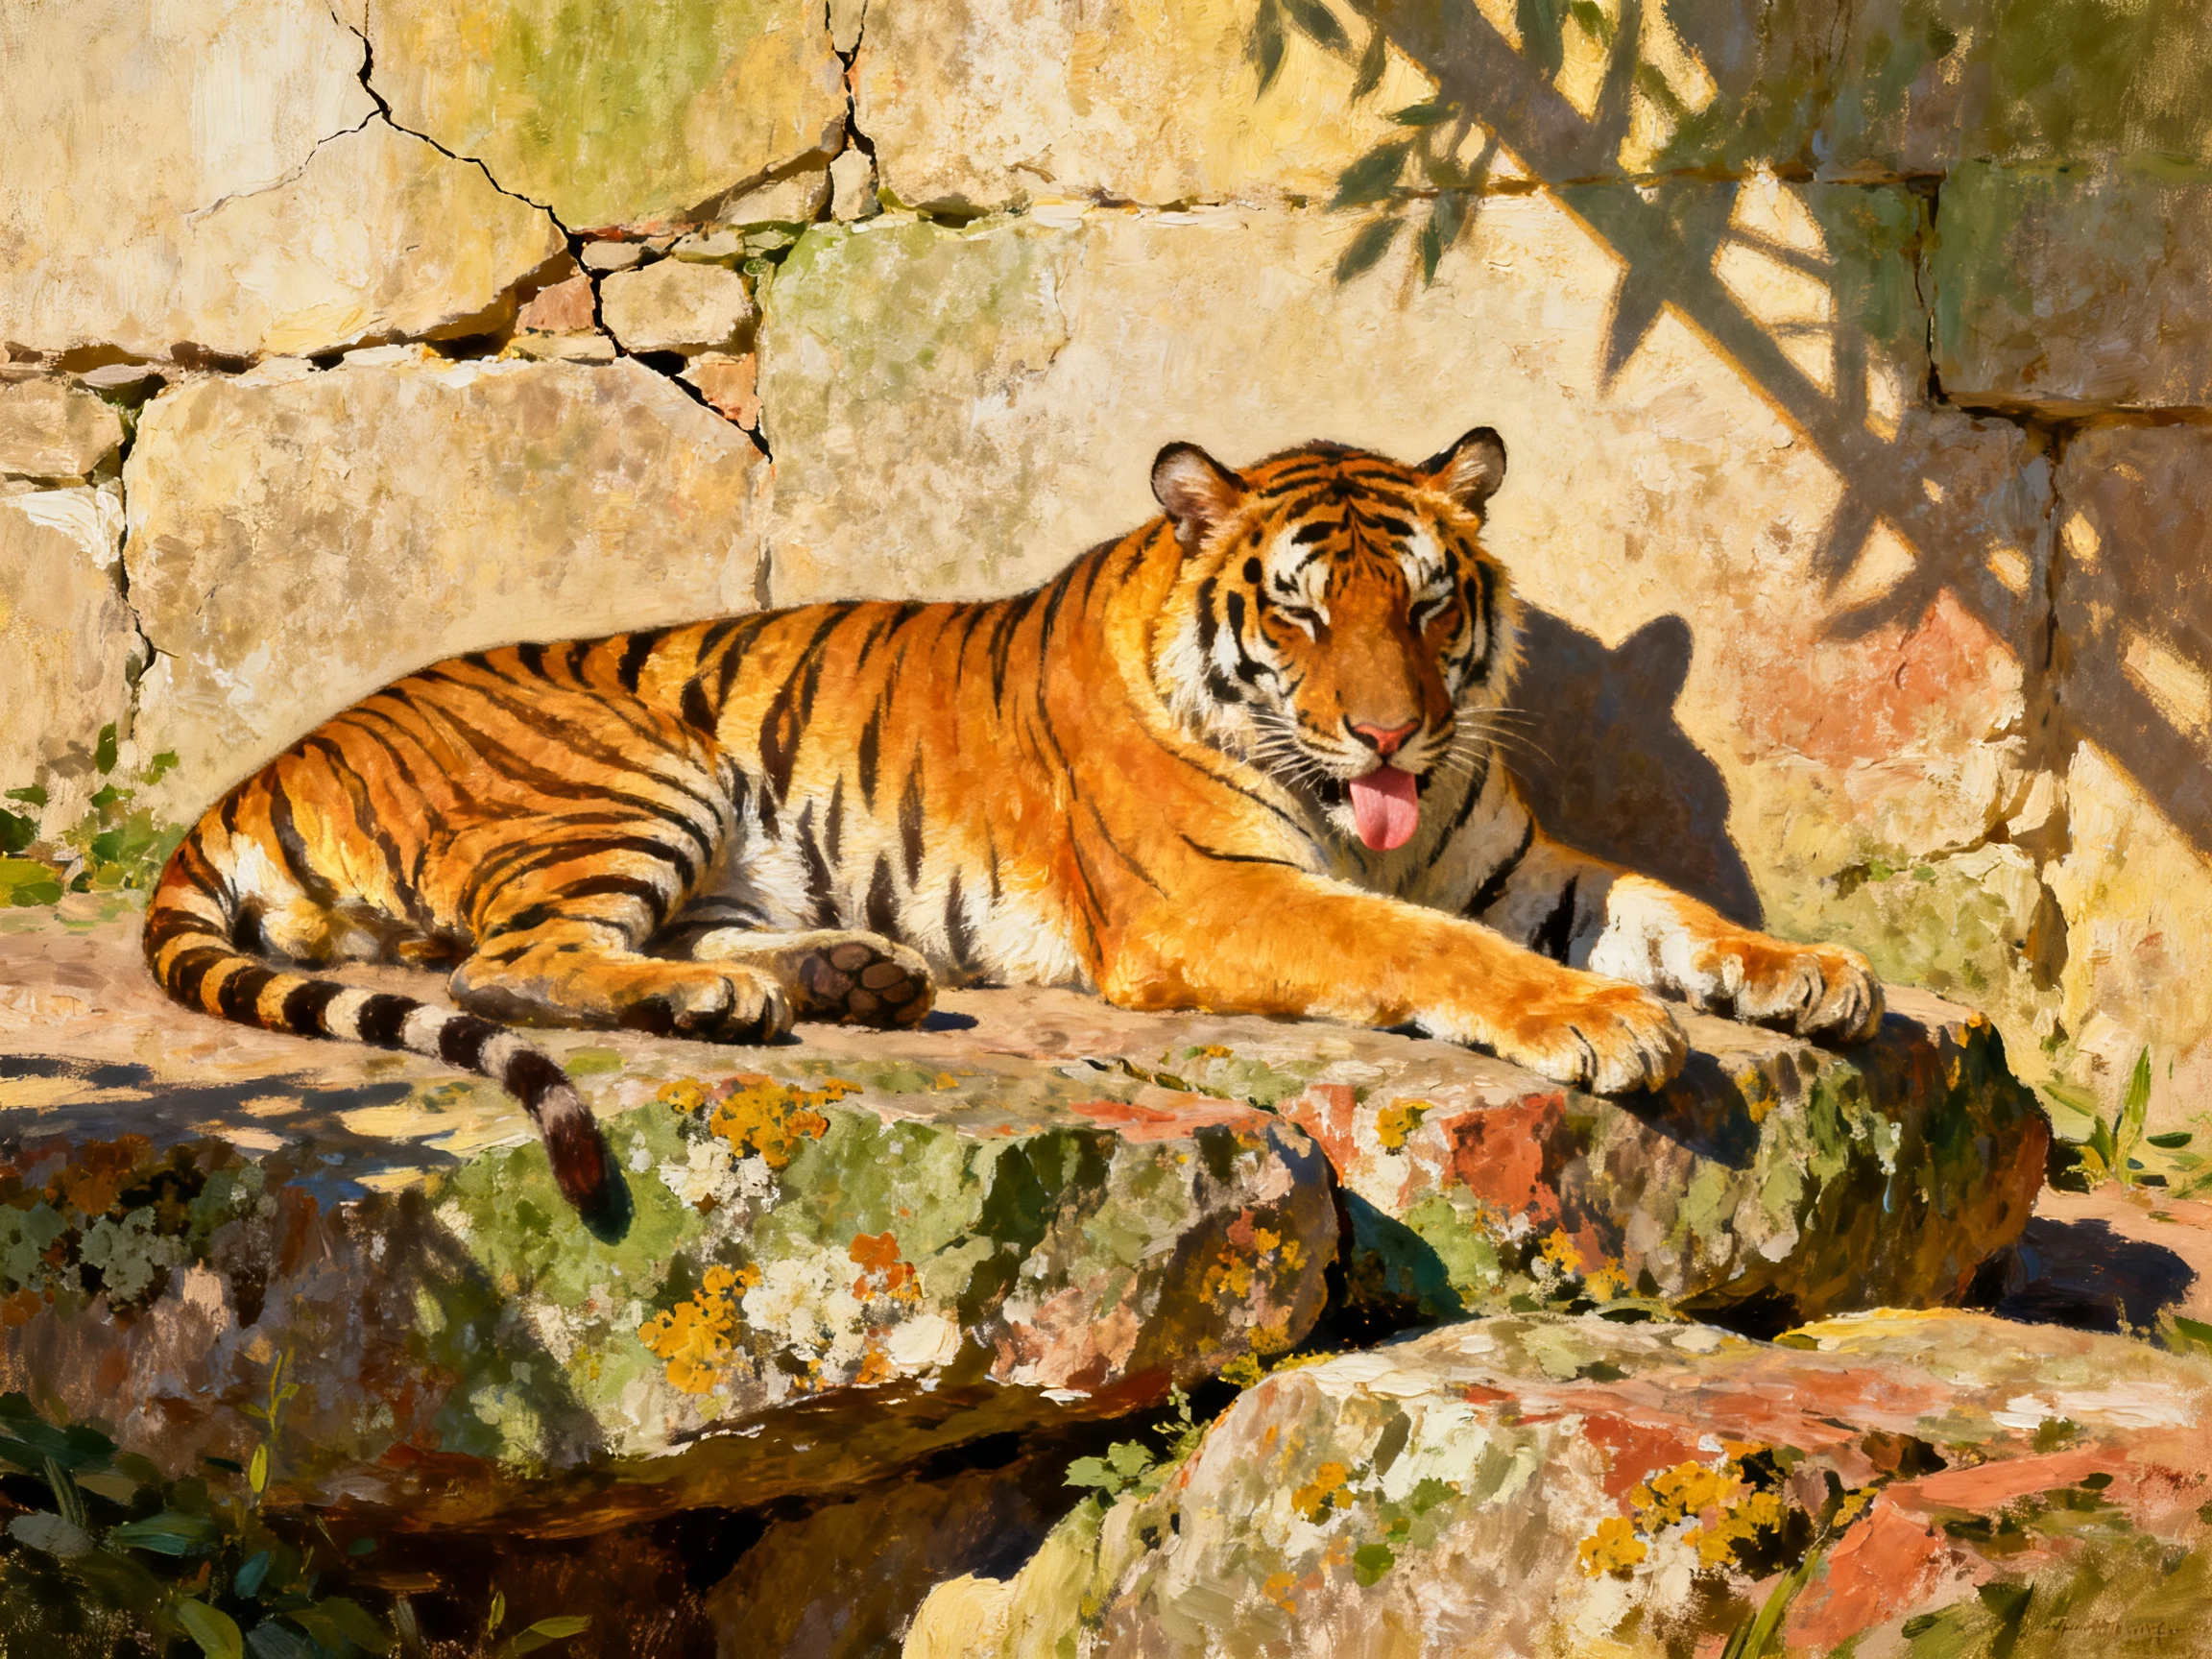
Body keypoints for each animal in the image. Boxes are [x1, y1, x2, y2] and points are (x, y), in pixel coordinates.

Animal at [144, 427, 1882, 1226]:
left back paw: (846, 976)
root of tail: (261, 772)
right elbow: (1418, 944)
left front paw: (1812, 973)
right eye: (1303, 613)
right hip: (639, 767)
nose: (1390, 730)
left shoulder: (1516, 865)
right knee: (516, 963)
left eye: (1427, 602)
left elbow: (1661, 906)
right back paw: (732, 1001)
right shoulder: (1216, 897)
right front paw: (1604, 1023)